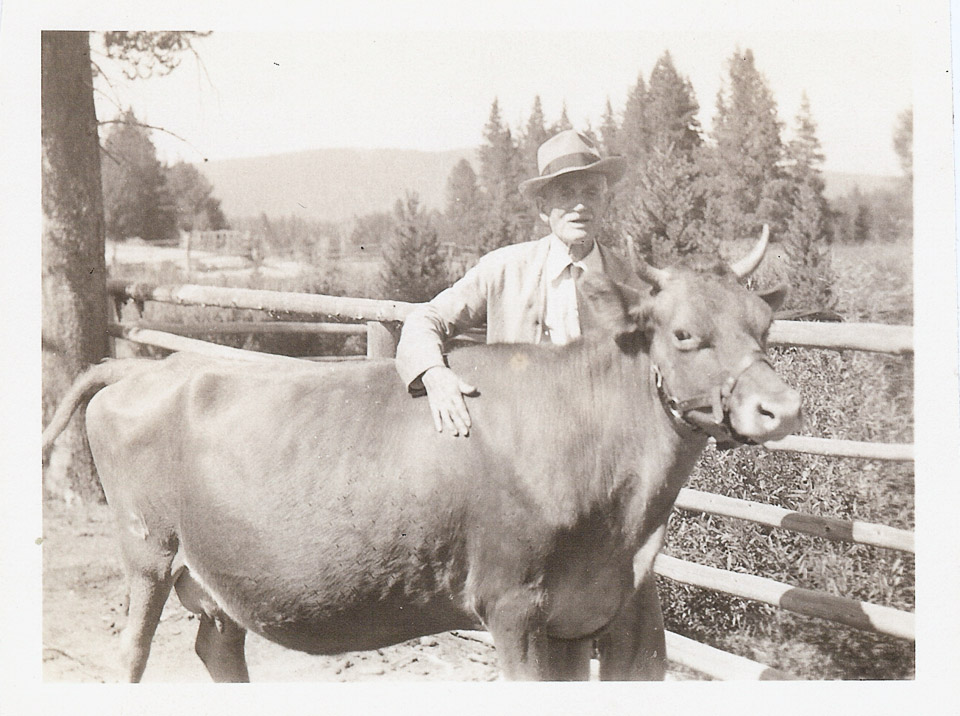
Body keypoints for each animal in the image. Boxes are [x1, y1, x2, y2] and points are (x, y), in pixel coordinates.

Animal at [41, 229, 800, 684]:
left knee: (219, 646)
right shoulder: (514, 607)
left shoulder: (589, 616)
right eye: (684, 334)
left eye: (765, 326)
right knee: (133, 651)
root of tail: (149, 368)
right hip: (148, 551)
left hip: (215, 570)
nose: (783, 406)